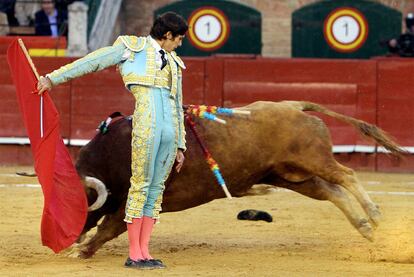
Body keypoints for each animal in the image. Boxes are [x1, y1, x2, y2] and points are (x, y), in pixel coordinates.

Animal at [73, 100, 404, 258]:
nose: (69, 237)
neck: (110, 156)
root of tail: (293, 105)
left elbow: (111, 225)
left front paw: (84, 250)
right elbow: (114, 224)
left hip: (313, 160)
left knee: (346, 176)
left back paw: (374, 215)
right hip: (290, 175)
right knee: (332, 191)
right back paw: (364, 227)